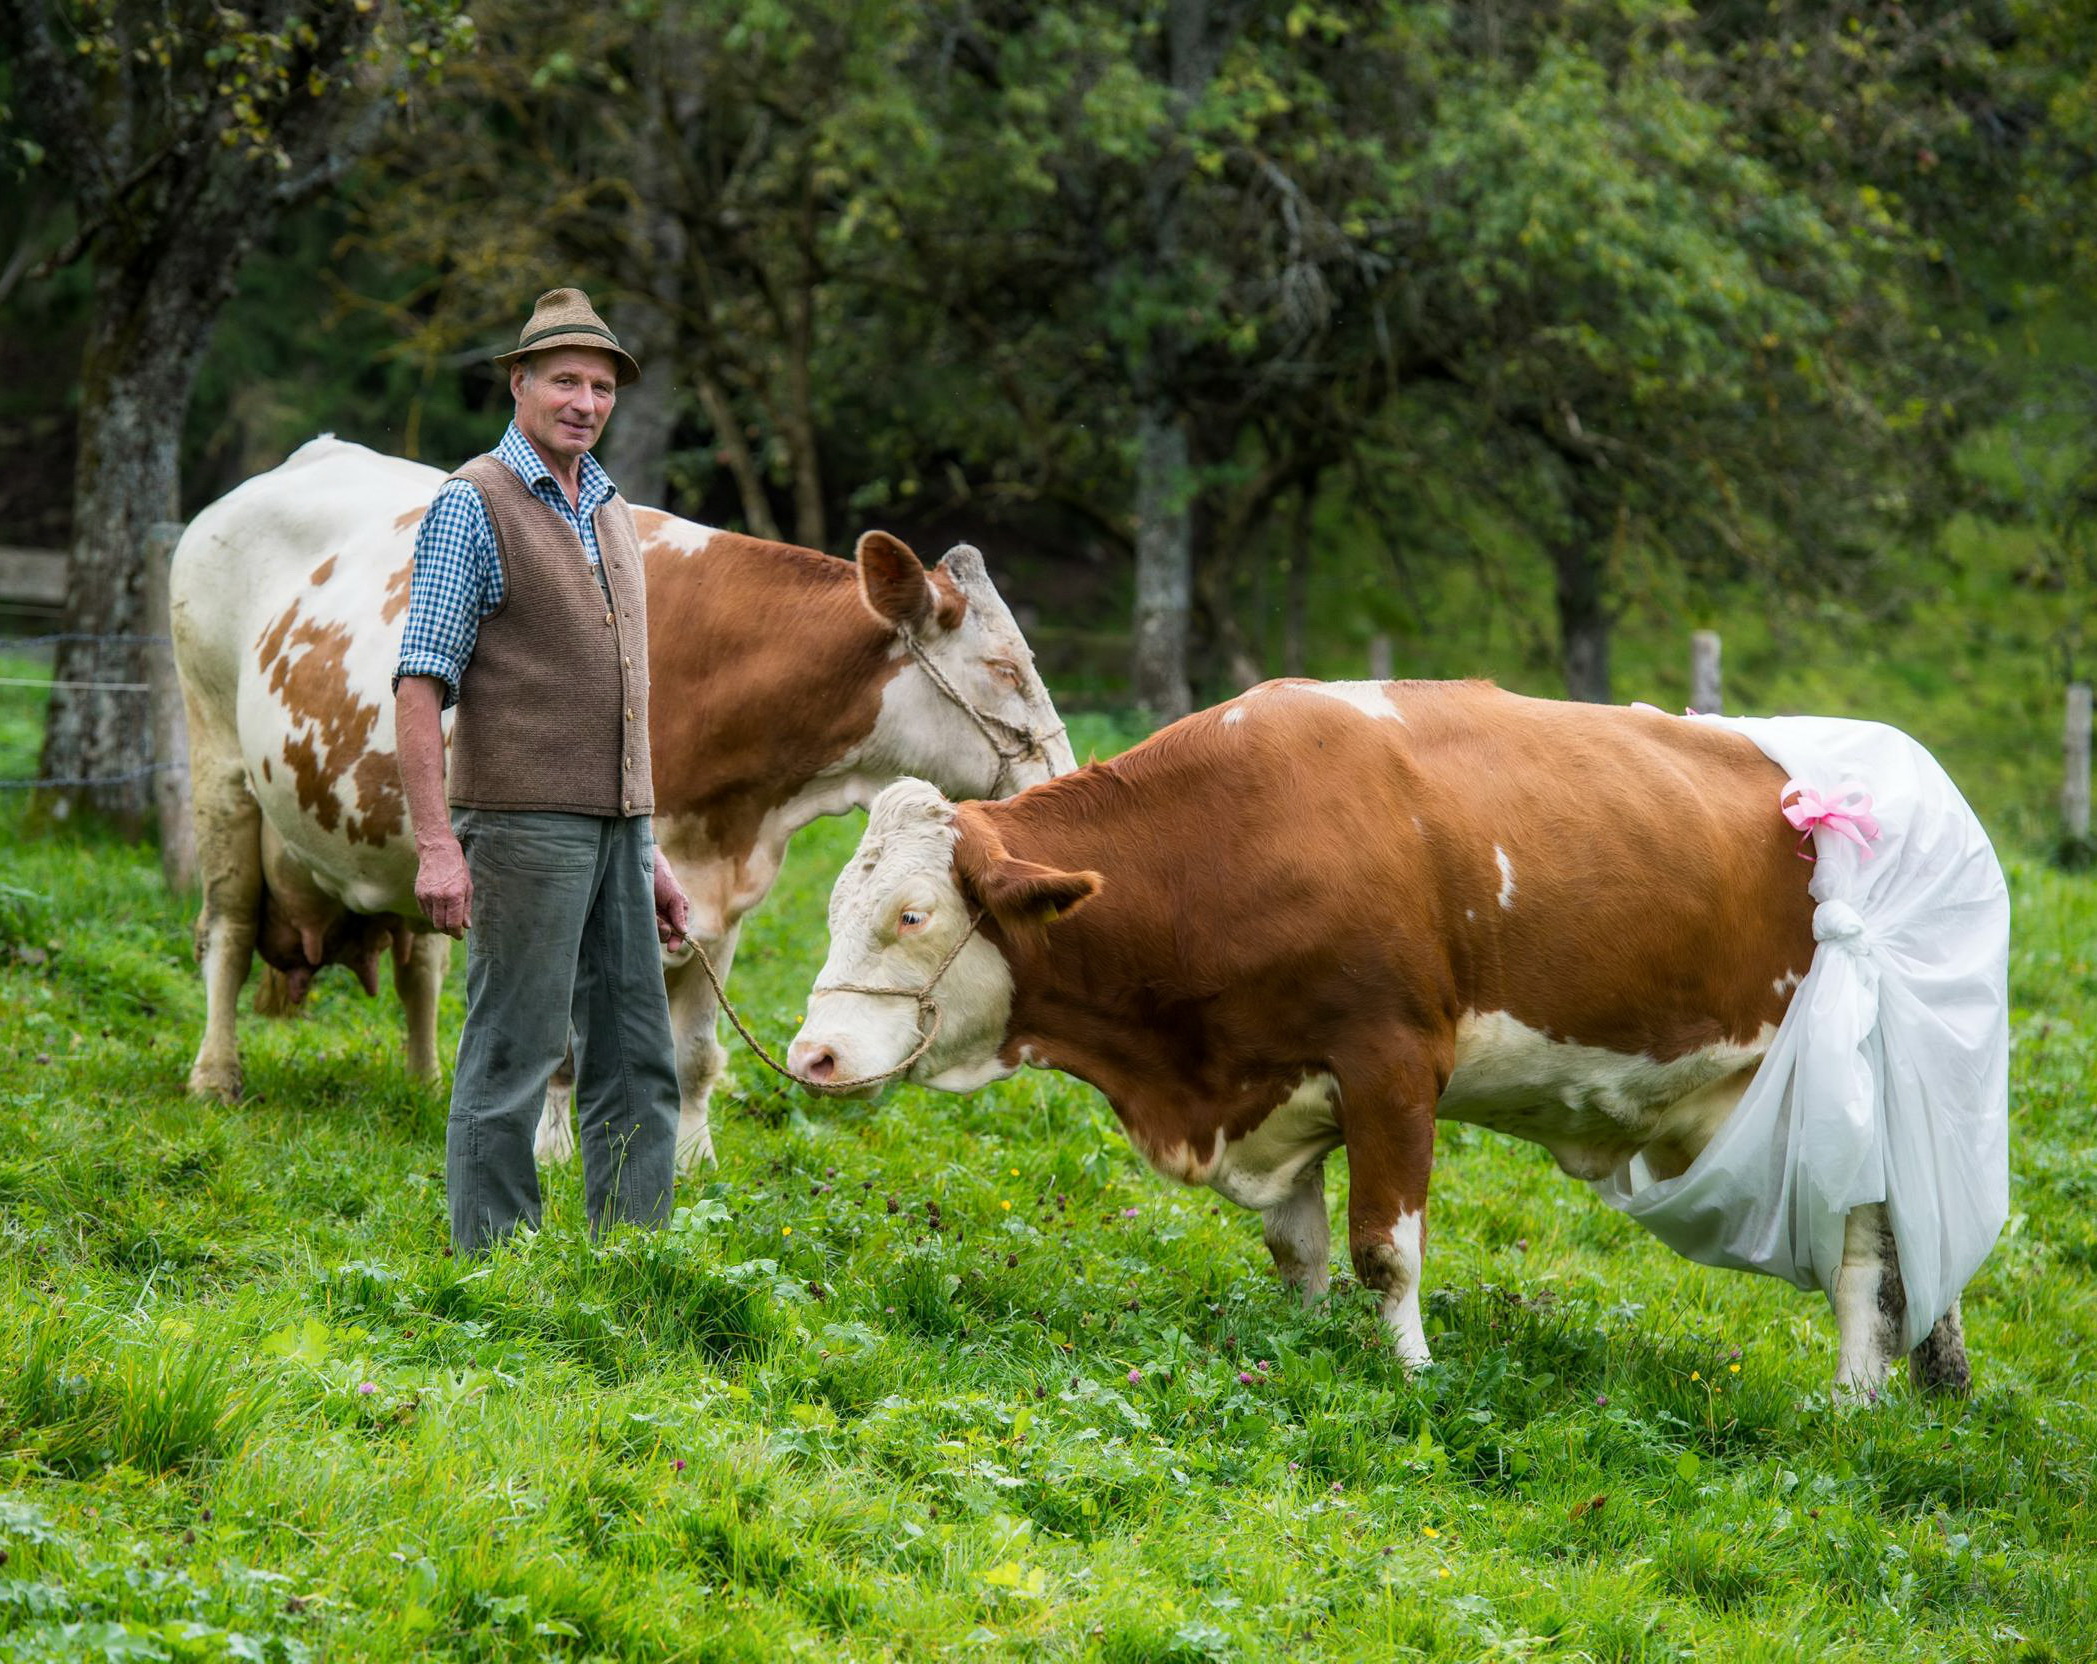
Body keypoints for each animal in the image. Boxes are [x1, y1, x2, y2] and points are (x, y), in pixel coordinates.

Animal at [171, 440, 1073, 1156]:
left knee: (419, 964)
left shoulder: (721, 905)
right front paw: (553, 1154)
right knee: (228, 930)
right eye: (1003, 669)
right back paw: (216, 1077)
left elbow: (695, 1051)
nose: (1060, 780)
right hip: (217, 763)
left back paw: (426, 1085)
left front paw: (690, 1161)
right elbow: (566, 1048)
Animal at [788, 679, 1979, 1391]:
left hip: (1845, 1097)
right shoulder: (1275, 1081)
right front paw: (1304, 1341)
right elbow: (1300, 1247)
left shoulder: (1394, 1063)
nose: (813, 1055)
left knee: (1863, 1254)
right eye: (836, 904)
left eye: (912, 915)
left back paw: (1851, 1399)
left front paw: (1407, 1371)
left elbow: (1384, 1246)